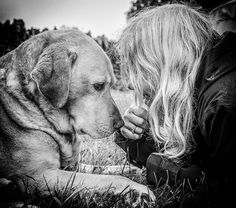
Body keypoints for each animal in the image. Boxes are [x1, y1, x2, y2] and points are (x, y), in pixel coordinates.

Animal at [0, 28, 155, 205]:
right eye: (98, 86)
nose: (120, 124)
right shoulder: (38, 176)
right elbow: (106, 179)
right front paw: (138, 189)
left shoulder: (74, 165)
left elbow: (101, 169)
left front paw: (131, 169)